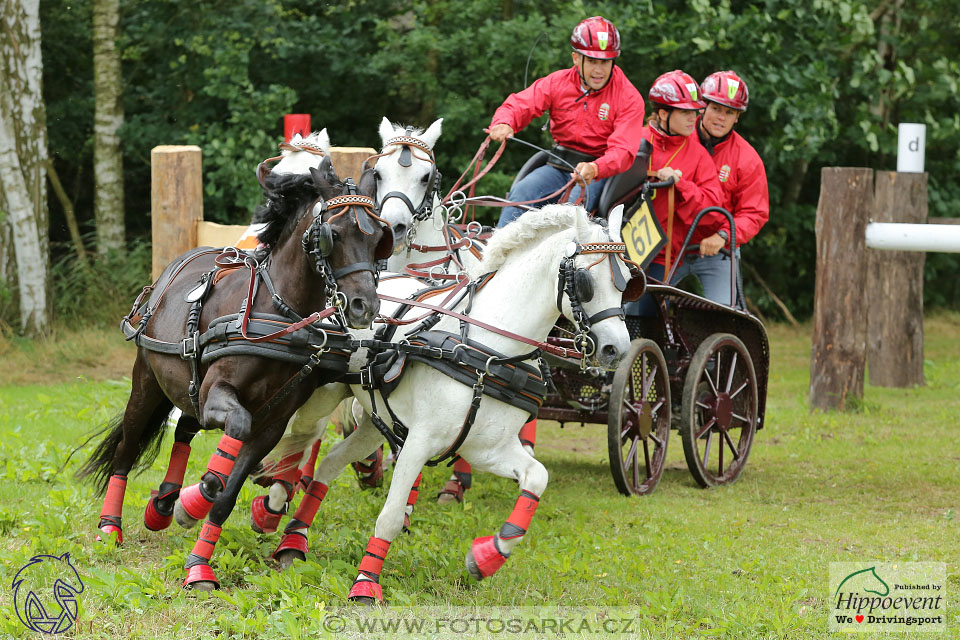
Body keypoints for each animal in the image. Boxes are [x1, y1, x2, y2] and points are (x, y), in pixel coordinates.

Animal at [79, 161, 394, 592]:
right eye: (335, 233)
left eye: (379, 237)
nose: (366, 306)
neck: (278, 314)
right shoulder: (220, 394)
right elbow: (224, 461)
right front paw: (194, 501)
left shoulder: (272, 422)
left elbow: (227, 493)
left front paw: (198, 564)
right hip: (147, 383)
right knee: (127, 448)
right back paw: (111, 527)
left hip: (189, 386)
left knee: (184, 429)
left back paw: (163, 503)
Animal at [251, 202, 636, 604]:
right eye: (586, 282)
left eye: (627, 281)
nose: (618, 350)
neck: (488, 350)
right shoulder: (420, 441)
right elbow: (391, 517)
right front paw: (366, 584)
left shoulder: (487, 448)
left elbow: (537, 477)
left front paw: (489, 554)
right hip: (323, 394)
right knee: (303, 439)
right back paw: (272, 506)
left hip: (375, 418)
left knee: (330, 461)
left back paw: (294, 539)